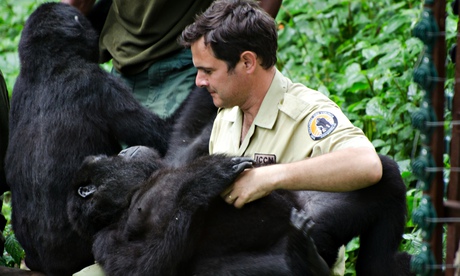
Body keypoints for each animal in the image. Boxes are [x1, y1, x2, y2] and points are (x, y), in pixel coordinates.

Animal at [68, 146, 414, 274]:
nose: (127, 149)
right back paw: (308, 259)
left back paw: (383, 264)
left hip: (321, 217)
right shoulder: (105, 241)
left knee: (385, 175)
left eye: (116, 155)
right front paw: (207, 179)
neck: (127, 199)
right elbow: (146, 266)